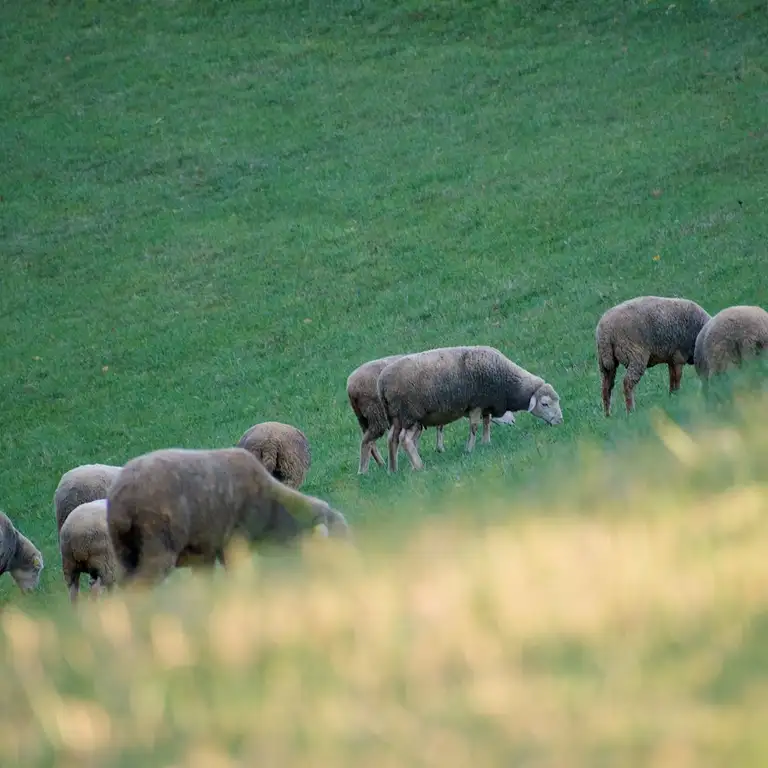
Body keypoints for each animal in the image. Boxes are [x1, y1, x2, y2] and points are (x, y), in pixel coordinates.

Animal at [346, 352, 516, 472]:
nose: (513, 422)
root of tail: (350, 386)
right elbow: (439, 427)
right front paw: (438, 449)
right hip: (376, 415)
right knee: (369, 441)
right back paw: (366, 470)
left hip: (365, 418)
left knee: (371, 442)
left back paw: (381, 464)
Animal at [378, 344, 564, 472]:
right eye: (545, 403)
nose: (560, 421)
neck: (507, 383)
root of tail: (381, 382)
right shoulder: (476, 404)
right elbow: (474, 427)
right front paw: (469, 449)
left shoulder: (486, 403)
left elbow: (487, 423)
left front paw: (486, 443)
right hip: (410, 414)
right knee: (405, 440)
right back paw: (418, 466)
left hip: (397, 417)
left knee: (392, 439)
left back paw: (393, 470)